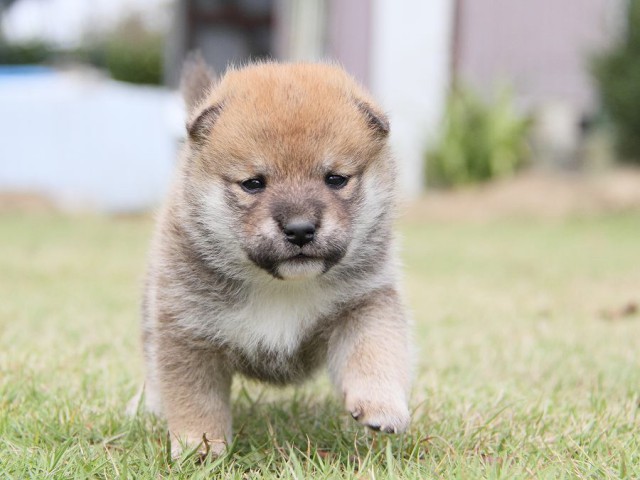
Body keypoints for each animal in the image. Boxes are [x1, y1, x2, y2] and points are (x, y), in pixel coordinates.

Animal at [136, 57, 416, 458]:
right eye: (254, 183)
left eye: (335, 179)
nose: (300, 229)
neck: (279, 287)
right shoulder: (188, 330)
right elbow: (194, 396)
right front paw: (199, 445)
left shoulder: (366, 303)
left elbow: (376, 350)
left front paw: (382, 404)